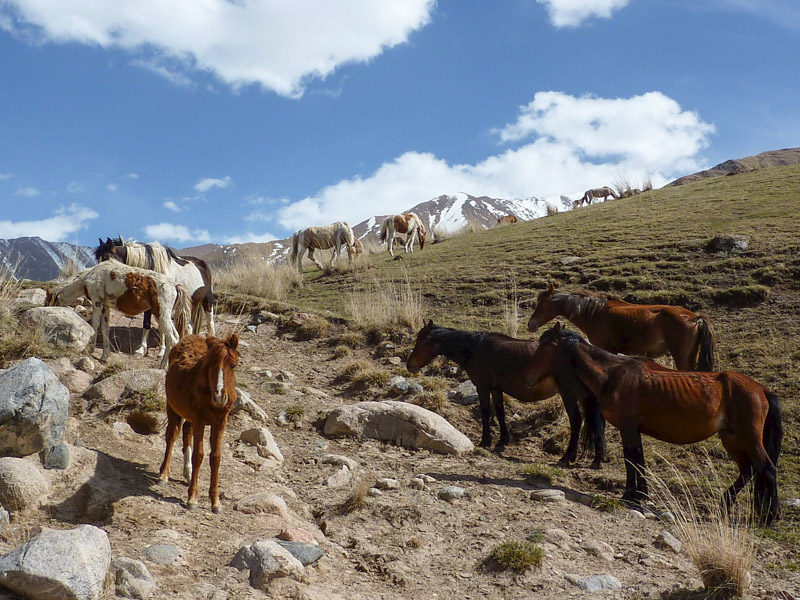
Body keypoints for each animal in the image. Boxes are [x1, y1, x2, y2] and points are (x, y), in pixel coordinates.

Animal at [48, 258, 191, 366]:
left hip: (161, 314)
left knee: (172, 339)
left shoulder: (97, 302)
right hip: (164, 316)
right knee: (176, 336)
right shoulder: (105, 307)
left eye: (49, 300)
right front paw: (104, 356)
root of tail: (175, 286)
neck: (89, 277)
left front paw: (90, 349)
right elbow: (105, 328)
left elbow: (95, 324)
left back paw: (163, 366)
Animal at [159, 330, 239, 512]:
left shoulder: (220, 423)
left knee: (186, 434)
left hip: (190, 417)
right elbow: (199, 454)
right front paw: (192, 498)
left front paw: (215, 501)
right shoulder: (200, 421)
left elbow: (215, 457)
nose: (219, 396)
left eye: (233, 365)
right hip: (173, 408)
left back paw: (187, 473)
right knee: (172, 436)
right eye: (210, 365)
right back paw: (164, 474)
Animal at [406, 318, 608, 464]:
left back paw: (567, 458)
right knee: (596, 422)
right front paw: (503, 440)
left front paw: (485, 441)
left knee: (577, 421)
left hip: (569, 393)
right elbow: (500, 413)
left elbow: (486, 412)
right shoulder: (496, 389)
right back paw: (596, 459)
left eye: (421, 341)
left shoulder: (482, 386)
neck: (474, 347)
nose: (410, 366)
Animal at [524, 324, 780, 524]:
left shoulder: (627, 427)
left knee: (766, 468)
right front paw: (639, 494)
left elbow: (631, 459)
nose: (529, 378)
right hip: (732, 438)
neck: (613, 375)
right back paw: (725, 505)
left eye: (543, 346)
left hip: (747, 437)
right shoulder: (632, 429)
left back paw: (770, 516)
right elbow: (637, 460)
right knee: (749, 470)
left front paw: (630, 495)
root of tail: (761, 389)